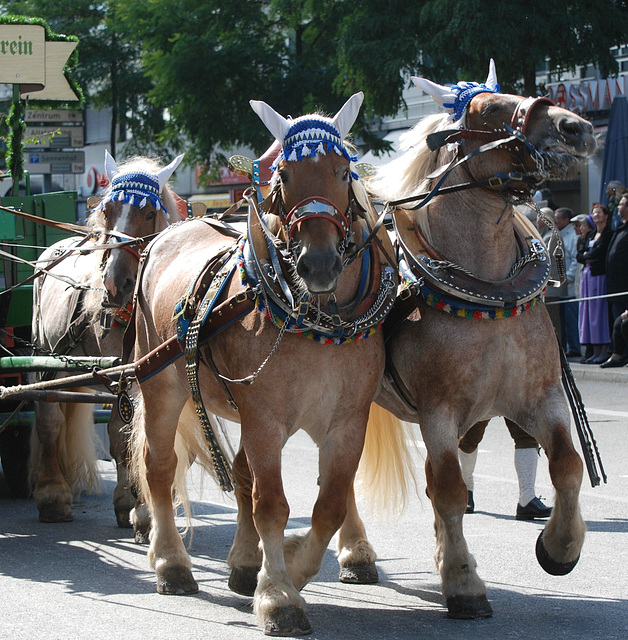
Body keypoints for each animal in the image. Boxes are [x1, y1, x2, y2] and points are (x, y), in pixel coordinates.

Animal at [30, 152, 182, 524]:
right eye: (108, 210)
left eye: (149, 213)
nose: (115, 283)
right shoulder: (125, 373)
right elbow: (125, 434)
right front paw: (140, 506)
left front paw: (141, 501)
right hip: (45, 358)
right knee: (49, 419)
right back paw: (52, 494)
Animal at [131, 94, 400, 636]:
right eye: (285, 174)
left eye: (344, 171)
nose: (319, 263)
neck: (317, 323)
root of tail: (168, 233)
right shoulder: (264, 421)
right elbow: (272, 505)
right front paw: (278, 595)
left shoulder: (346, 422)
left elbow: (329, 504)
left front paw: (289, 568)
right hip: (161, 384)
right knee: (160, 468)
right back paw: (171, 563)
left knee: (237, 474)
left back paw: (240, 562)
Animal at [356, 61, 596, 620]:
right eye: (488, 110)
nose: (576, 128)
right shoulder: (438, 411)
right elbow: (446, 487)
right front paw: (464, 581)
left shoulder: (538, 399)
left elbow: (567, 465)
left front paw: (560, 547)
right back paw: (356, 553)